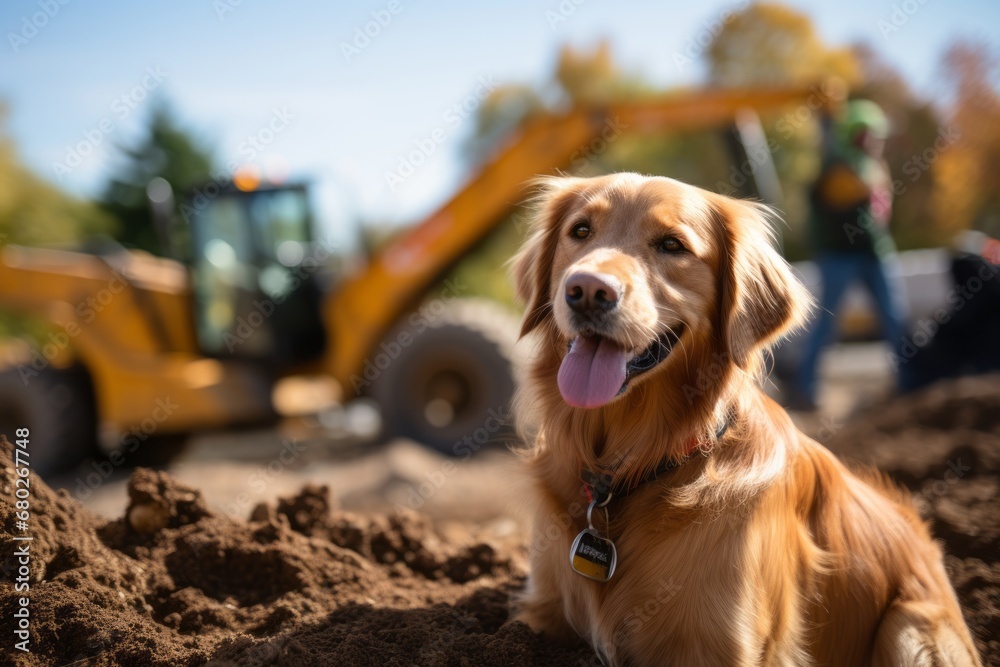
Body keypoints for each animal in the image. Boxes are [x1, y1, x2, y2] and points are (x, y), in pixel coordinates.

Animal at [512, 174, 980, 667]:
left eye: (672, 245)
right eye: (580, 231)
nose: (586, 290)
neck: (631, 469)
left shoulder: (717, 646)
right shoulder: (539, 609)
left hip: (910, 629)